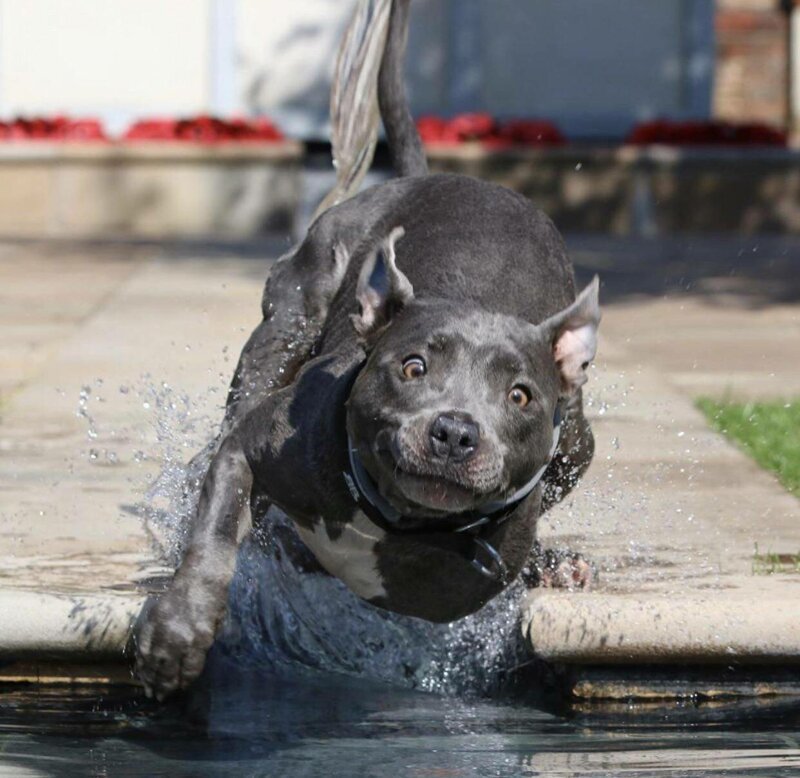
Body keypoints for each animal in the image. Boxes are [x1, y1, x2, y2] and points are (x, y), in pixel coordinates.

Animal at [138, 0, 600, 700]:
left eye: (519, 395)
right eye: (413, 367)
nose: (455, 432)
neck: (390, 516)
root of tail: (431, 176)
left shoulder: (473, 565)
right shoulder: (257, 441)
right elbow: (215, 536)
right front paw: (176, 637)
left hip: (575, 443)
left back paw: (557, 563)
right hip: (287, 323)